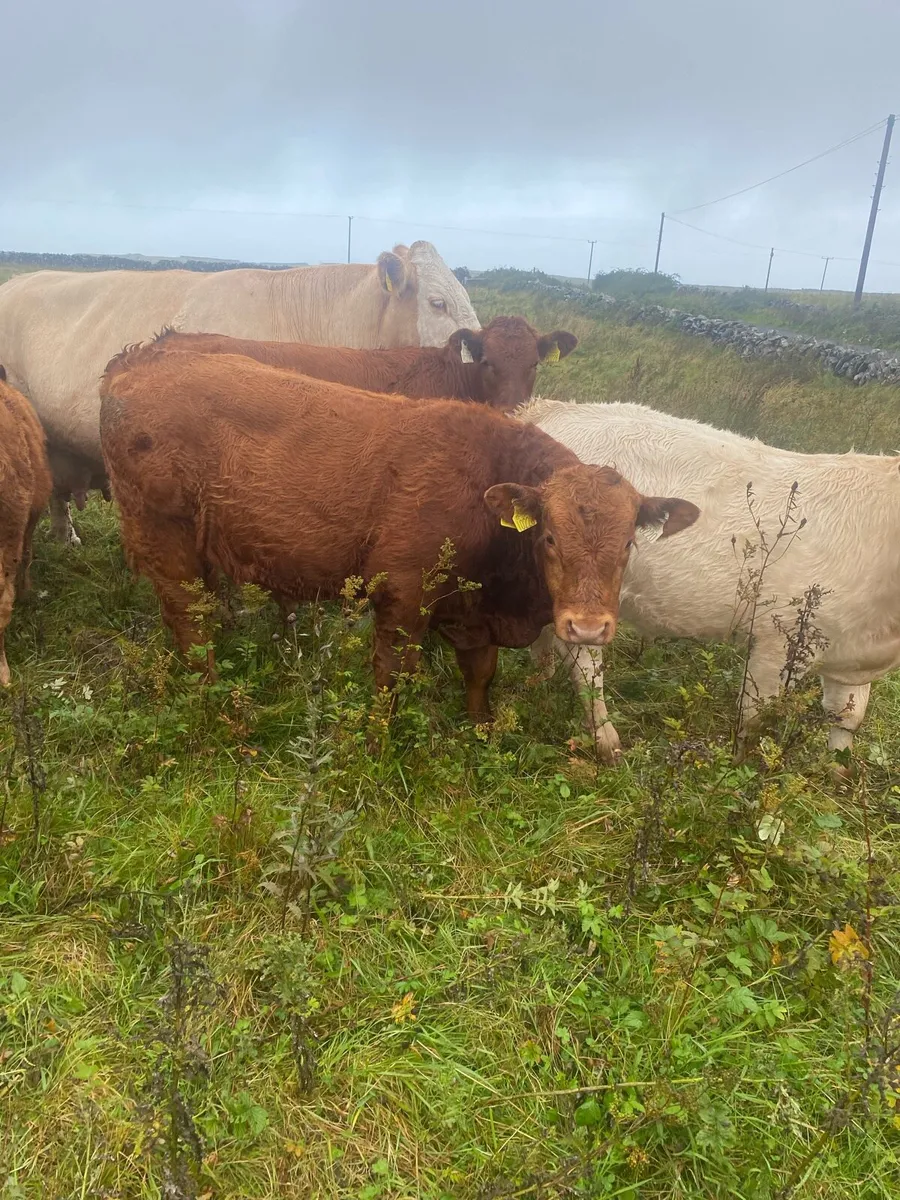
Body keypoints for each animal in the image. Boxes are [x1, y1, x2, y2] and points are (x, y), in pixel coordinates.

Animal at [98, 348, 698, 728]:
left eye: (628, 543)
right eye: (549, 537)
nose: (588, 628)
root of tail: (133, 368)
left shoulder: (471, 610)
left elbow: (480, 674)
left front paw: (479, 730)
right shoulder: (404, 596)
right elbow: (391, 680)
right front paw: (379, 744)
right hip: (166, 540)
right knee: (188, 620)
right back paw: (213, 698)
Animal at [520, 397, 900, 762]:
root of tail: (550, 409)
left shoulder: (851, 650)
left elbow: (847, 719)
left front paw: (837, 769)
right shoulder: (779, 638)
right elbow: (756, 720)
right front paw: (740, 769)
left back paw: (540, 683)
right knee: (585, 664)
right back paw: (606, 742)